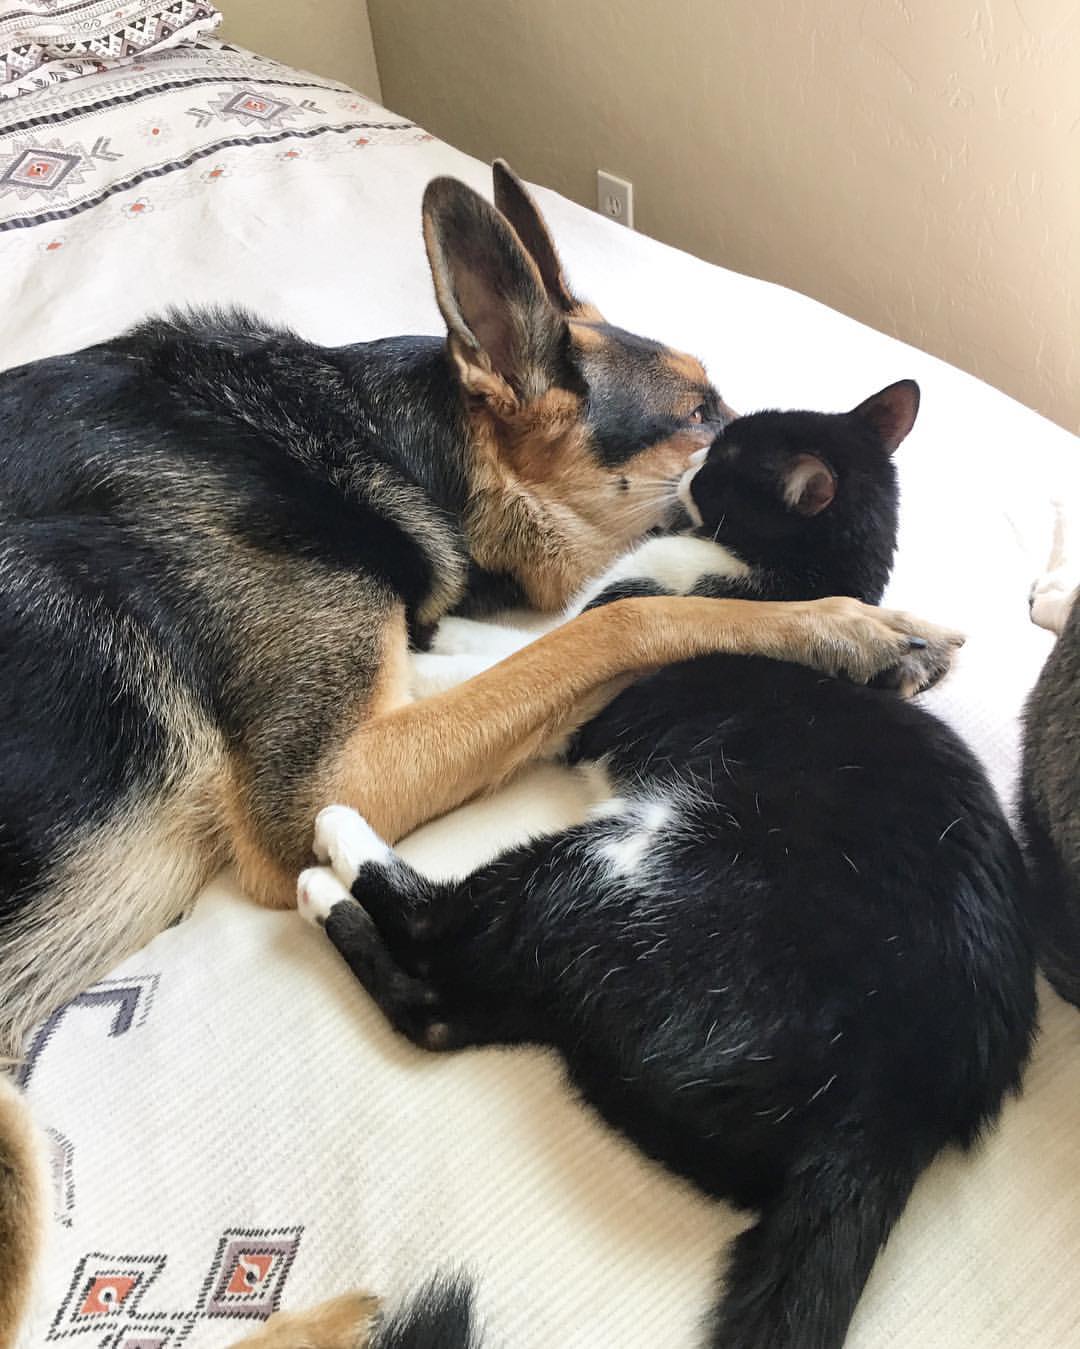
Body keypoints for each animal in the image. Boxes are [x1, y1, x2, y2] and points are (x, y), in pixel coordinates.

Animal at [0, 160, 960, 1338]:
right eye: (699, 415)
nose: (779, 435)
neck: (386, 447)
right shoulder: (330, 772)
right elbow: (621, 623)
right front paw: (846, 626)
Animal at [299, 383, 1030, 1349]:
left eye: (727, 457)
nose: (693, 454)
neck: (775, 576)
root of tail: (901, 1093)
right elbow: (529, 644)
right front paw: (454, 629)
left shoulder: (599, 673)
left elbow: (533, 656)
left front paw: (430, 660)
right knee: (446, 1010)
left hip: (629, 862)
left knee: (439, 930)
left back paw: (332, 846)